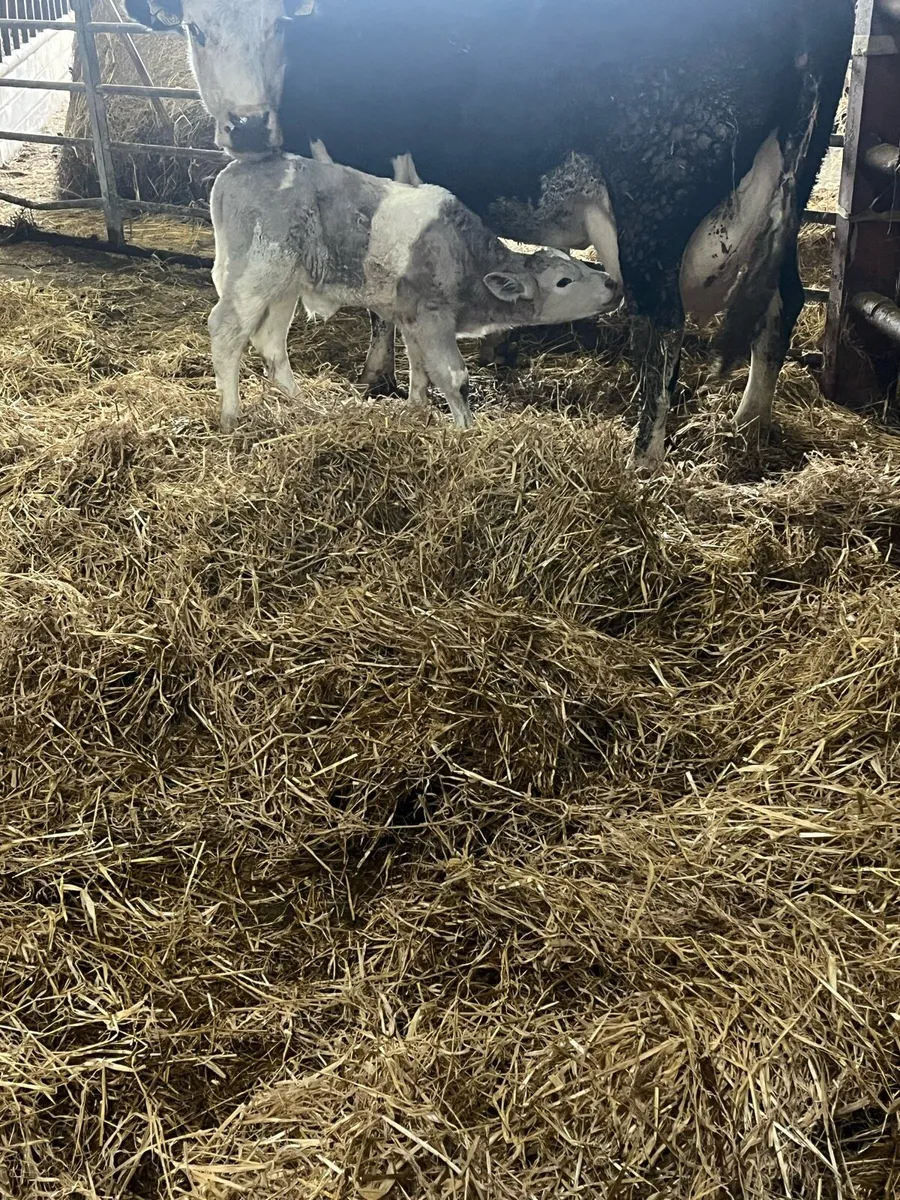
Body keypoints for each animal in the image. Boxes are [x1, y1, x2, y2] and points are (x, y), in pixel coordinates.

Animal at [208, 153, 620, 430]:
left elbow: (420, 369)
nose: (612, 284)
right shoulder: (431, 316)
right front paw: (467, 430)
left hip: (285, 286)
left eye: (582, 267)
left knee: (270, 341)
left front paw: (417, 409)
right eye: (563, 281)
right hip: (258, 271)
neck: (461, 253)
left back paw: (302, 402)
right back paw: (230, 415)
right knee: (226, 329)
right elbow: (455, 377)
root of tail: (234, 171)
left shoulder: (409, 316)